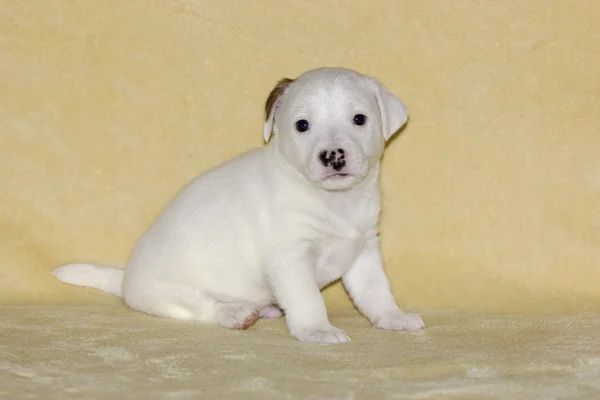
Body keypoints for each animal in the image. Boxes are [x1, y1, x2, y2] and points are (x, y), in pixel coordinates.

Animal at [52, 67, 426, 342]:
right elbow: (308, 298)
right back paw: (235, 312)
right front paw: (317, 330)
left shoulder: (364, 250)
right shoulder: (290, 259)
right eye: (302, 125)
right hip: (170, 294)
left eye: (359, 119)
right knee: (202, 308)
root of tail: (125, 278)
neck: (335, 201)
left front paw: (393, 317)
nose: (333, 155)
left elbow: (376, 292)